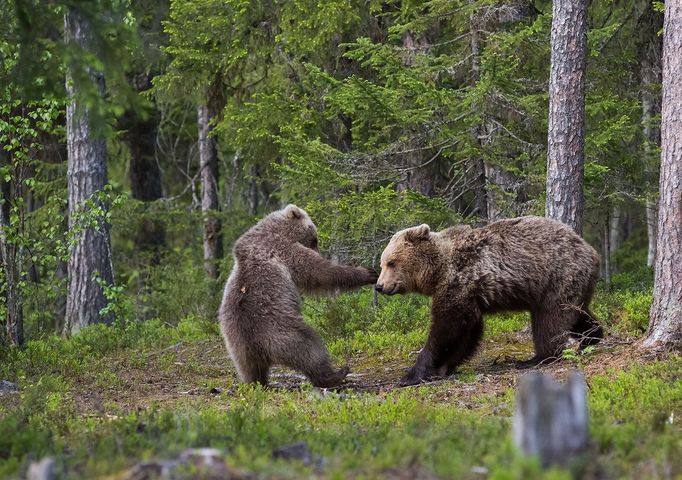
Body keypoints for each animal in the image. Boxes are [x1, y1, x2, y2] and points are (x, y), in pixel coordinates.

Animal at [219, 204, 374, 388]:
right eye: (315, 239)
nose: (318, 250)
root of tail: (259, 348)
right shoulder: (284, 248)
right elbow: (318, 272)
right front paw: (366, 273)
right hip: (282, 331)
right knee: (309, 350)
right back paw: (336, 373)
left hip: (236, 345)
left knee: (249, 369)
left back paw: (258, 383)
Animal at [374, 218, 604, 386]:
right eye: (382, 264)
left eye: (391, 262)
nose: (379, 286)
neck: (437, 271)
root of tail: (592, 251)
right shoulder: (469, 295)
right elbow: (466, 333)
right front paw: (444, 367)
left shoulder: (459, 281)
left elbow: (446, 329)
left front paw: (410, 375)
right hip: (573, 284)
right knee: (576, 311)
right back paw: (592, 336)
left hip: (557, 277)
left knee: (550, 318)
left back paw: (537, 358)